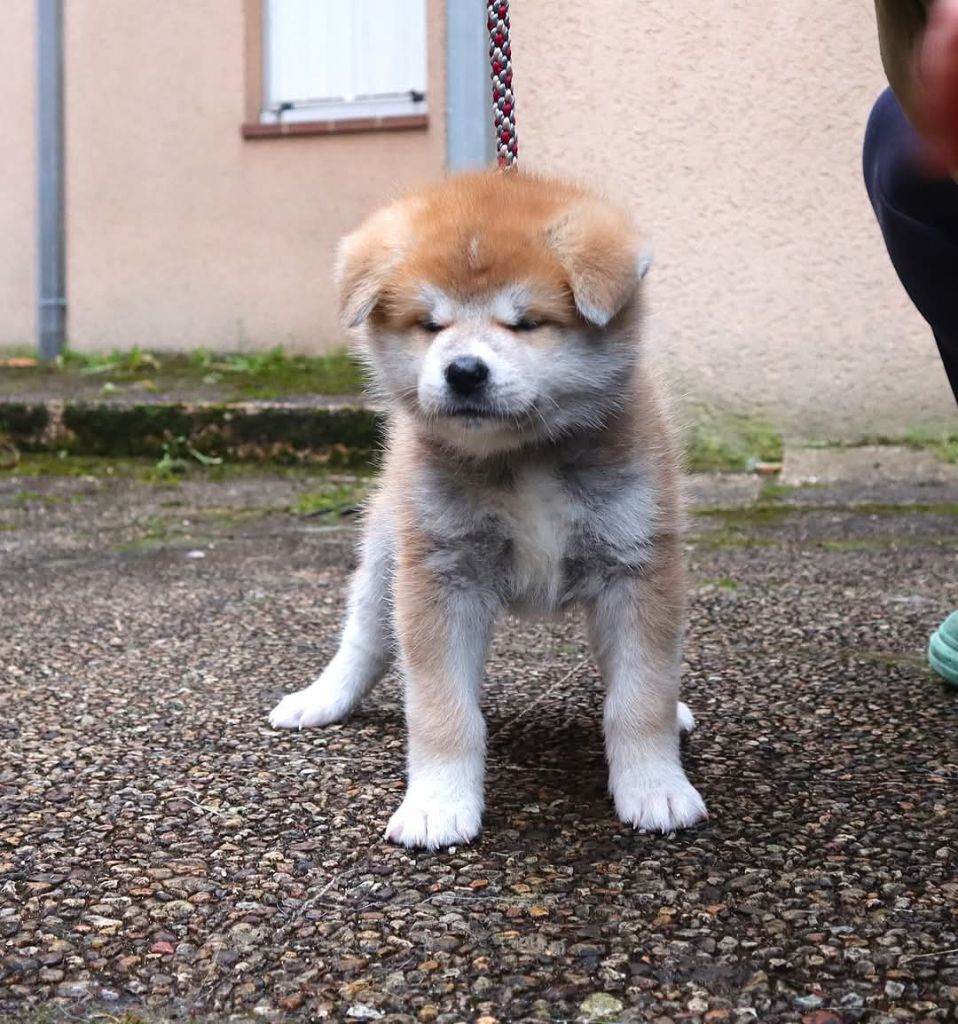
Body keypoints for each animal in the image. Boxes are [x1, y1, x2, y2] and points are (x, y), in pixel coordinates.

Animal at [269, 170, 707, 849]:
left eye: (526, 322)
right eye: (430, 324)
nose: (464, 372)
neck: (523, 457)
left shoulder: (635, 567)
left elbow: (640, 698)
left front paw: (655, 787)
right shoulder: (442, 576)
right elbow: (442, 711)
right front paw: (438, 804)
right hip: (387, 551)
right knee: (364, 635)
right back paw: (323, 698)